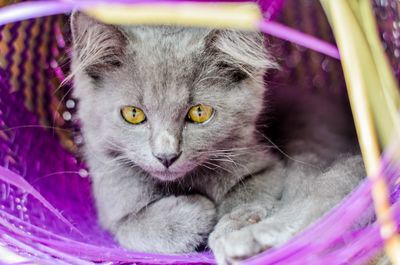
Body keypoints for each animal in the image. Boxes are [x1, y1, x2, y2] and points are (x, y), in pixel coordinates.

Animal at [70, 12, 364, 264]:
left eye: (199, 113)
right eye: (133, 114)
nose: (166, 156)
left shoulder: (268, 169)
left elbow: (246, 197)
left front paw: (229, 227)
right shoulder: (112, 206)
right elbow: (134, 228)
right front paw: (198, 211)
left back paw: (246, 243)